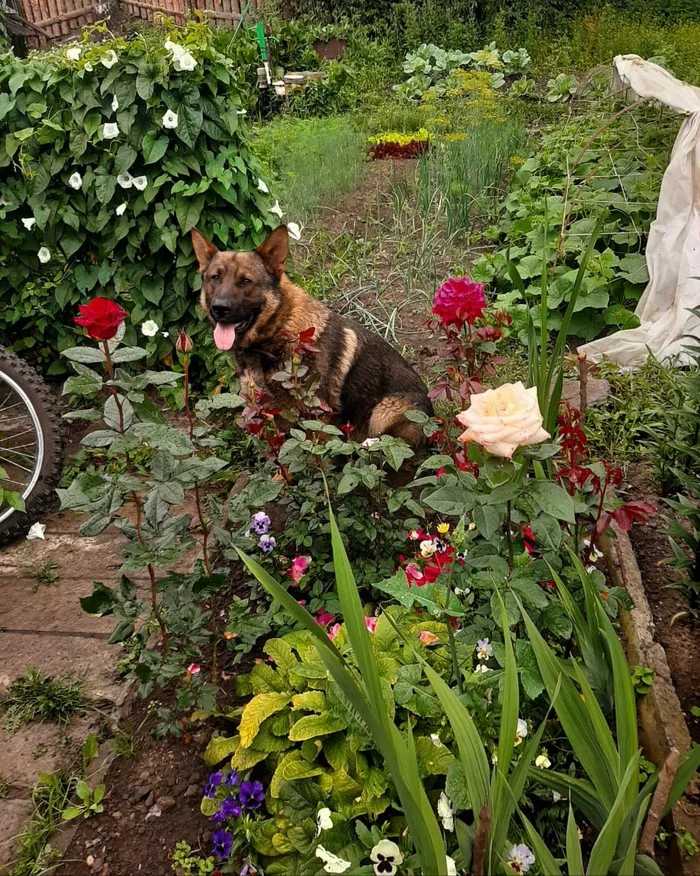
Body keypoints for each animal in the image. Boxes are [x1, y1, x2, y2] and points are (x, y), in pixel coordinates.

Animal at [191, 226, 432, 448]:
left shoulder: (317, 417)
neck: (279, 329)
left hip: (386, 410)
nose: (219, 308)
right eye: (215, 278)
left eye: (245, 281)